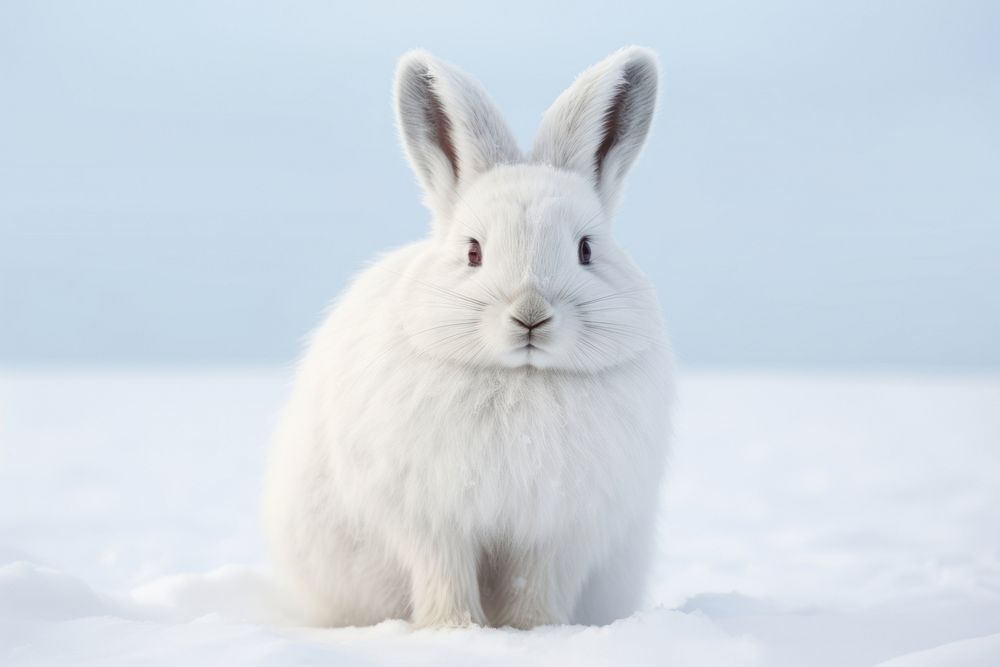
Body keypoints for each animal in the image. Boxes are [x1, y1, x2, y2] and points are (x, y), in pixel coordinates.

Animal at [262, 47, 676, 632]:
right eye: (473, 251)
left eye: (586, 250)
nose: (531, 315)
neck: (523, 378)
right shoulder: (432, 520)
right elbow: (445, 574)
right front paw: (454, 630)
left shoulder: (556, 529)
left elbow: (533, 585)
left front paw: (535, 632)